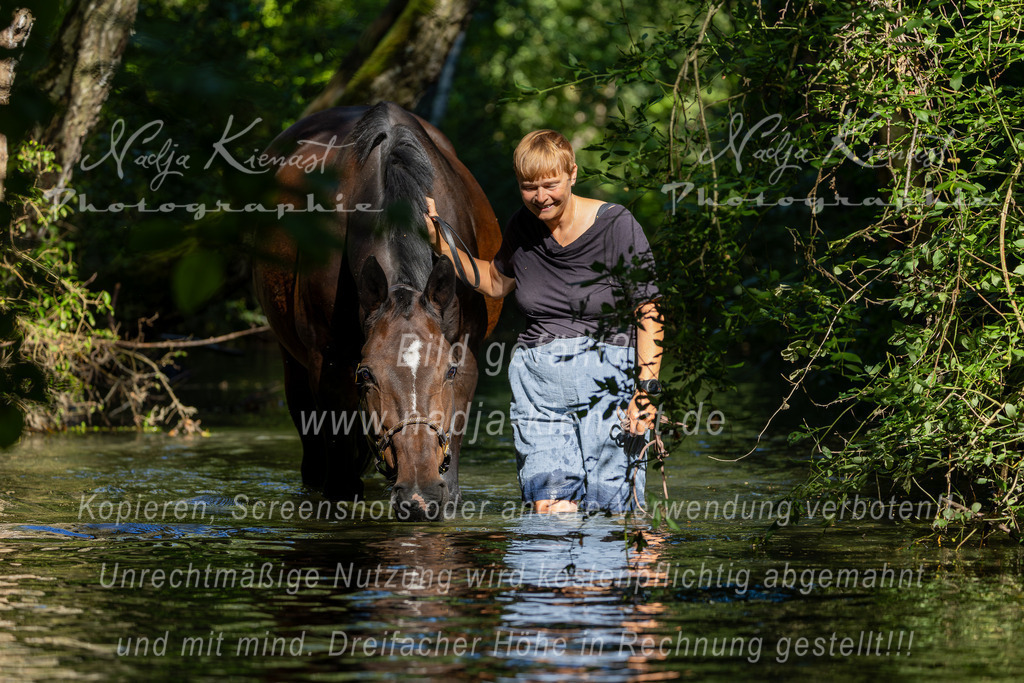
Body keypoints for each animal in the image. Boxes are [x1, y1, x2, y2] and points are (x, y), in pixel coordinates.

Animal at [252, 101, 502, 521]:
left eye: (448, 371)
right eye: (366, 374)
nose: (419, 496)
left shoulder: (465, 358)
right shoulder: (329, 366)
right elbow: (339, 484)